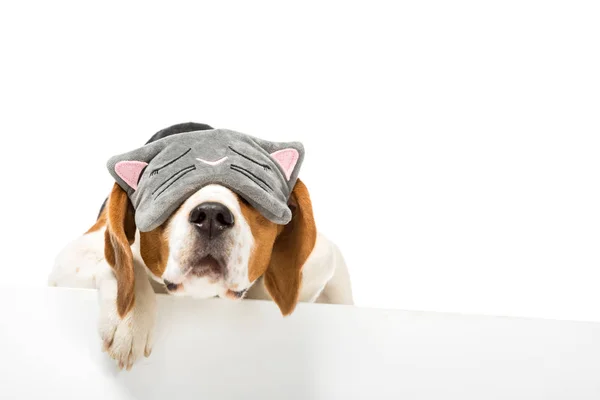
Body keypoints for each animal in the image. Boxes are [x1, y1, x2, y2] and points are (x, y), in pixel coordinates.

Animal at [50, 122, 356, 368]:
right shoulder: (69, 260)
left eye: (249, 196)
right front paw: (129, 318)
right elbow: (124, 262)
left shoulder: (326, 257)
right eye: (171, 194)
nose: (211, 215)